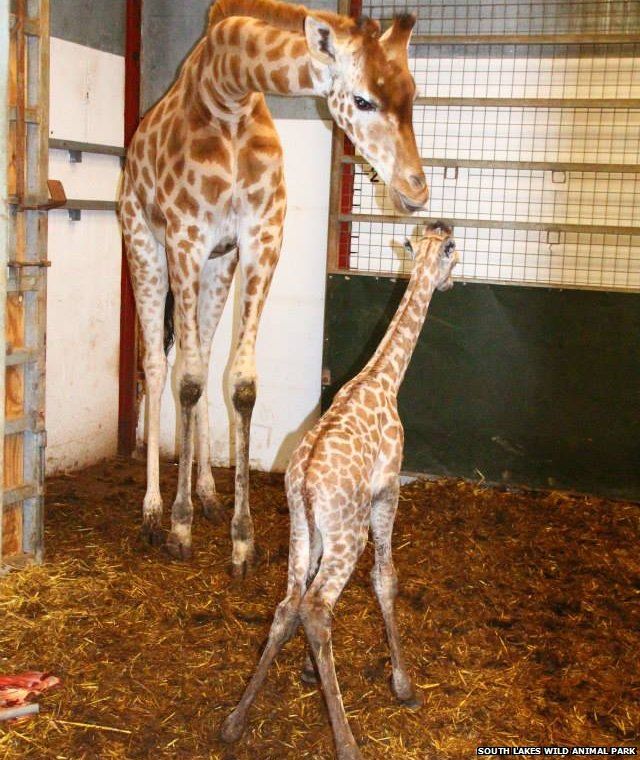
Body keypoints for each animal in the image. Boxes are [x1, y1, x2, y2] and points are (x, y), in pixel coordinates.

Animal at [120, 0, 430, 576]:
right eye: (362, 99)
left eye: (413, 93)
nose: (416, 191)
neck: (229, 94)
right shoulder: (186, 238)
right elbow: (185, 380)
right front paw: (178, 527)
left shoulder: (261, 239)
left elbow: (239, 383)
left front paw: (242, 538)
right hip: (143, 242)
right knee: (156, 363)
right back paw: (152, 511)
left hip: (218, 267)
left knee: (202, 359)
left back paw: (208, 494)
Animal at [222, 223, 458, 756]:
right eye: (454, 254)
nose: (452, 283)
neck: (383, 378)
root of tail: (308, 479)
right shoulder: (387, 490)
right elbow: (386, 579)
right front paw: (404, 686)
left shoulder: (321, 532)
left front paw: (309, 671)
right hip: (347, 532)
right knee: (316, 606)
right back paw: (347, 741)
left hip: (302, 527)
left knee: (290, 603)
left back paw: (235, 720)